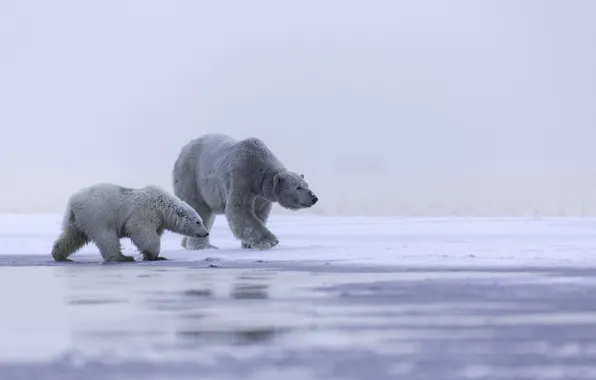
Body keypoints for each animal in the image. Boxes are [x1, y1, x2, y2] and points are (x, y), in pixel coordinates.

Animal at [51, 183, 210, 262]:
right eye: (198, 221)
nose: (206, 233)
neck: (162, 206)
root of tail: (73, 203)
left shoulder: (159, 221)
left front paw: (153, 255)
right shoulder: (145, 212)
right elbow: (141, 231)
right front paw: (154, 255)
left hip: (77, 220)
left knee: (72, 237)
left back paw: (59, 255)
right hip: (98, 215)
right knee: (106, 237)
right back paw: (123, 257)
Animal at [172, 132, 318, 251]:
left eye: (306, 185)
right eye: (298, 187)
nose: (314, 198)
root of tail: (182, 150)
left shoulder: (261, 194)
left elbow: (260, 212)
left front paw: (248, 244)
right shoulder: (240, 177)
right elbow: (239, 210)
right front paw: (269, 241)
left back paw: (186, 244)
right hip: (191, 178)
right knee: (199, 209)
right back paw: (201, 246)